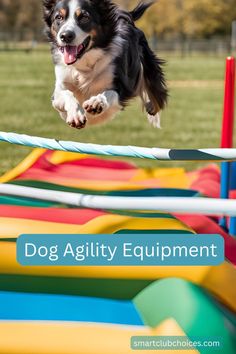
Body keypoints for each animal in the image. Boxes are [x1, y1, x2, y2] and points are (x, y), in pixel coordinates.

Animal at [42, 0, 168, 130]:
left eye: (84, 17)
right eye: (59, 17)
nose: (65, 36)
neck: (84, 64)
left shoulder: (124, 86)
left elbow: (110, 92)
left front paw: (97, 102)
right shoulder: (58, 91)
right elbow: (67, 93)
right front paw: (76, 115)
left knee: (157, 97)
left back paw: (151, 106)